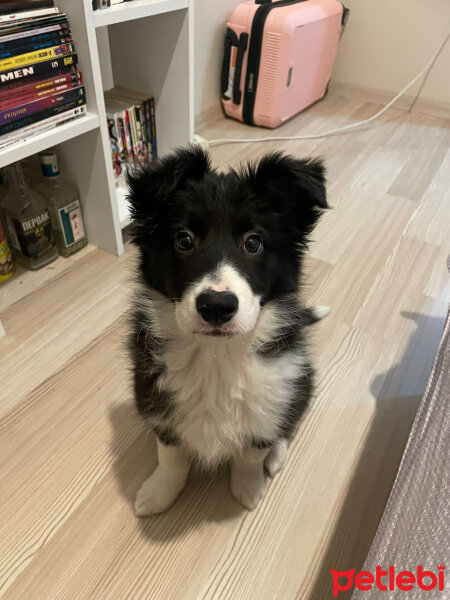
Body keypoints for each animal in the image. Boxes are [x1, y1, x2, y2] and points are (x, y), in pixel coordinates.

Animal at [128, 146, 328, 516]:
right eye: (184, 240)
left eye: (254, 243)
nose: (217, 306)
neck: (215, 357)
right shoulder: (156, 399)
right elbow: (171, 456)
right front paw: (159, 493)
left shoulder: (272, 395)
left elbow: (252, 452)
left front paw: (249, 487)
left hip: (301, 381)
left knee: (287, 421)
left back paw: (276, 457)